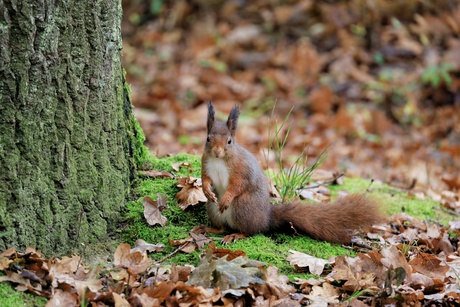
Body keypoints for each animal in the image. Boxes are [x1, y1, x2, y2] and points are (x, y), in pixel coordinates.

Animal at [201, 102, 384, 244]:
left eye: (229, 141)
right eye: (208, 139)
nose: (217, 152)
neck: (219, 160)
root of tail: (266, 218)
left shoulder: (242, 169)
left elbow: (239, 185)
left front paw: (226, 198)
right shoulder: (206, 164)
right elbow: (205, 179)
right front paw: (206, 190)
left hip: (243, 207)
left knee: (250, 230)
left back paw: (235, 234)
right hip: (213, 209)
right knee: (222, 226)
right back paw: (210, 229)